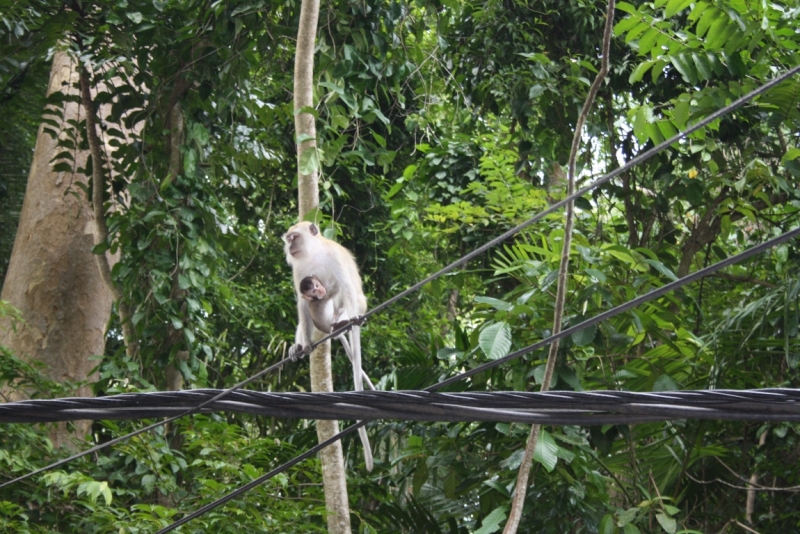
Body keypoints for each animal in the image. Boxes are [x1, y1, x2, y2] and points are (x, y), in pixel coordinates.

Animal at [284, 224, 376, 472]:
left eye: (294, 237)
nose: (289, 246)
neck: (313, 254)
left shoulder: (333, 257)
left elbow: (346, 287)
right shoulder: (299, 269)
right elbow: (301, 301)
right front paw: (304, 344)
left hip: (348, 308)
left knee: (344, 294)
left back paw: (345, 322)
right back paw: (299, 345)